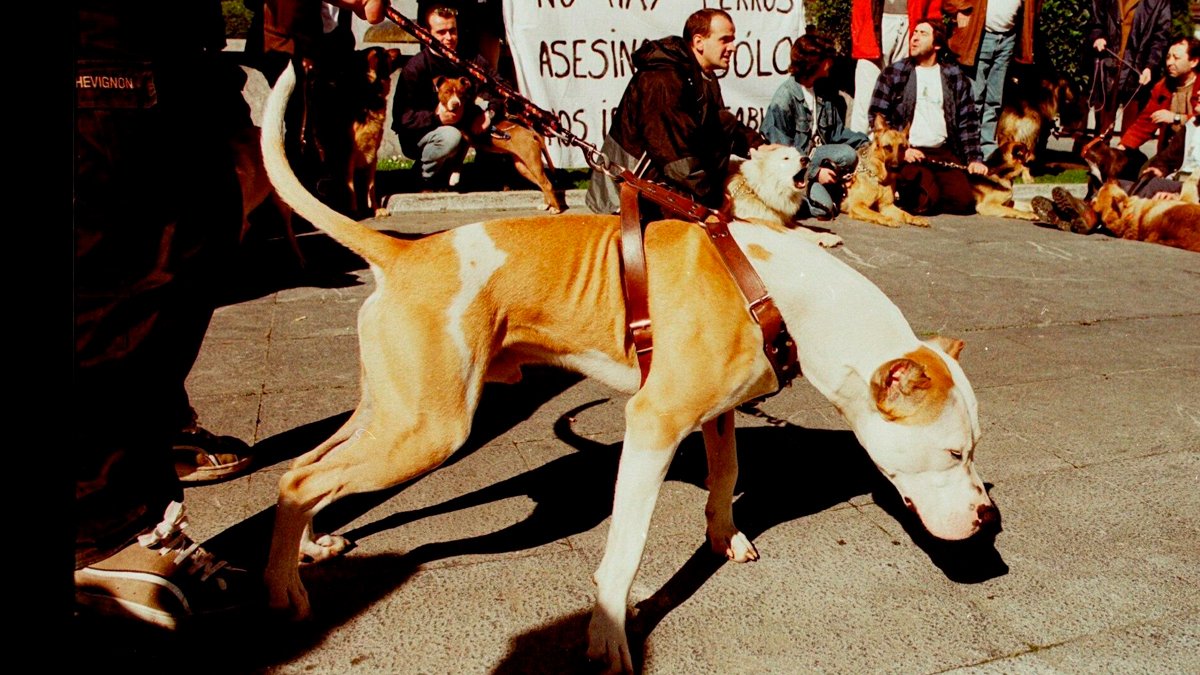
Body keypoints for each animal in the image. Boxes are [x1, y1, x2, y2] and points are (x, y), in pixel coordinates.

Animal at [432, 73, 566, 211]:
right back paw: (546, 204)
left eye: (461, 93)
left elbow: (458, 157)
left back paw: (556, 209)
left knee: (546, 183)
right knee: (542, 182)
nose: (455, 104)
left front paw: (453, 177)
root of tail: (532, 133)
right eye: (447, 92)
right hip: (522, 166)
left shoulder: (466, 138)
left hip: (532, 162)